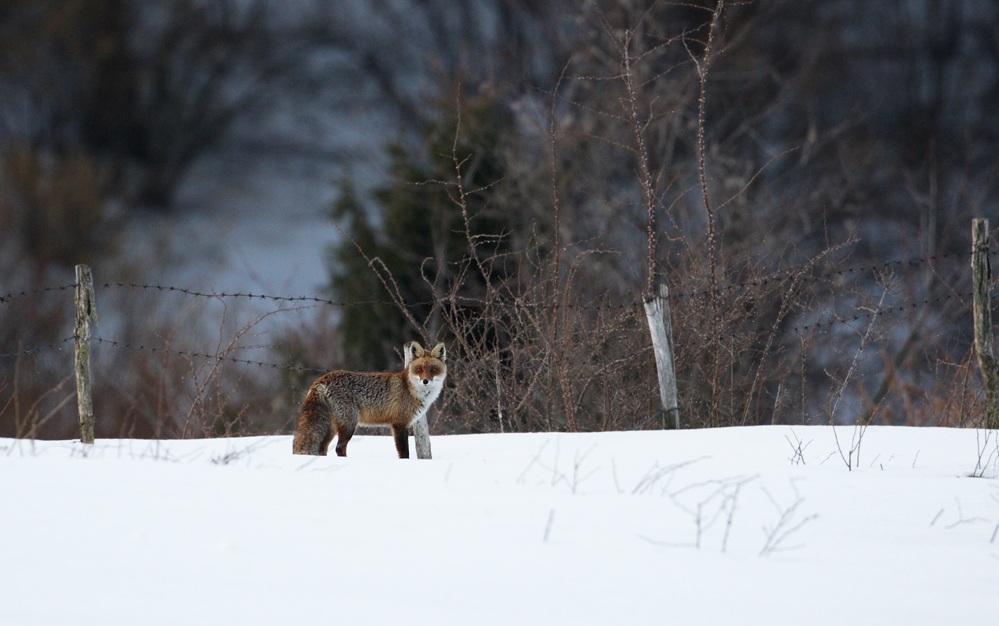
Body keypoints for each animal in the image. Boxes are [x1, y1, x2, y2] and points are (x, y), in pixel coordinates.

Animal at [292, 341, 446, 458]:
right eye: (419, 369)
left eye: (433, 369)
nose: (425, 381)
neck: (411, 390)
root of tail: (322, 379)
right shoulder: (399, 424)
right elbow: (404, 453)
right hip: (349, 424)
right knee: (339, 448)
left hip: (333, 427)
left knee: (322, 448)